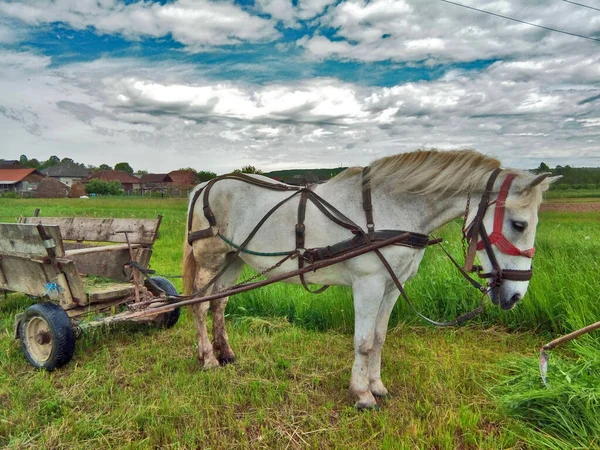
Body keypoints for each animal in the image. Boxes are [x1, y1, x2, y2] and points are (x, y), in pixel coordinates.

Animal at [183, 149, 556, 410]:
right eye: (519, 224)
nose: (516, 295)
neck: (387, 210)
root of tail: (202, 185)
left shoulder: (391, 287)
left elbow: (378, 338)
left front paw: (377, 386)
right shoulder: (369, 284)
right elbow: (362, 341)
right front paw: (362, 395)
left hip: (232, 261)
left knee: (219, 303)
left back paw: (226, 352)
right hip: (210, 258)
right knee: (200, 306)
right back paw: (209, 359)